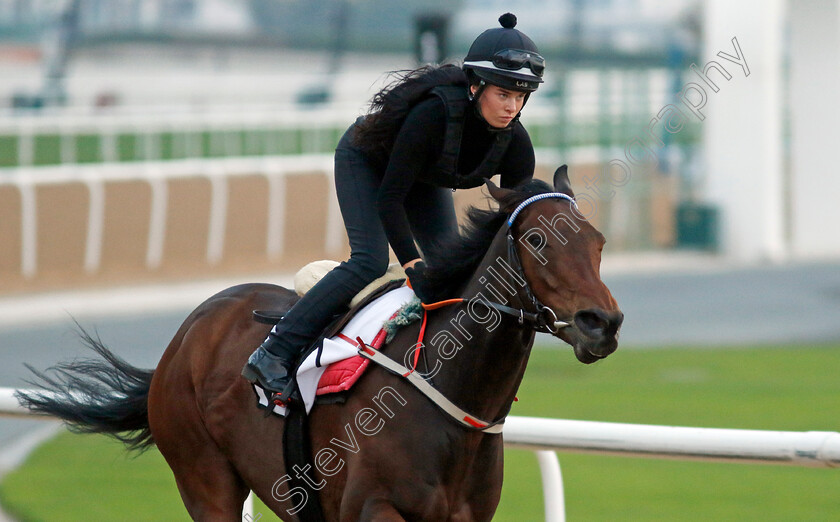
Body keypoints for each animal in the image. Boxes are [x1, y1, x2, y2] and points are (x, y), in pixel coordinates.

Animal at [16, 167, 624, 520]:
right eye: (538, 239)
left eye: (598, 241)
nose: (603, 322)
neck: (450, 397)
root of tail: (190, 329)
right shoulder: (371, 509)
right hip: (204, 477)